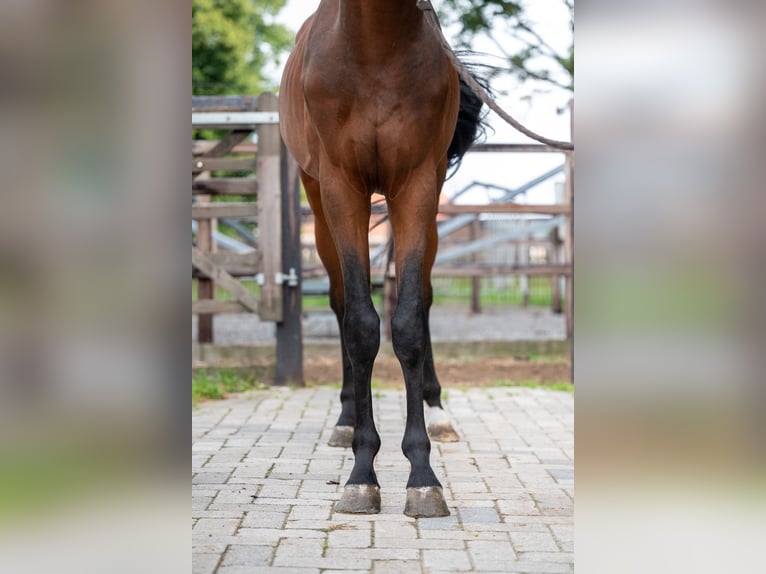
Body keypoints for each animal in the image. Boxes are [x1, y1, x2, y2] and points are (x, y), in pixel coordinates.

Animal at [280, 0, 486, 520]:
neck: (376, 50)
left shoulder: (417, 186)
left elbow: (408, 322)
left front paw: (423, 477)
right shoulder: (341, 189)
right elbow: (359, 324)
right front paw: (361, 474)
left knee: (423, 300)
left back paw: (437, 412)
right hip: (319, 205)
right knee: (339, 304)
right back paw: (346, 419)